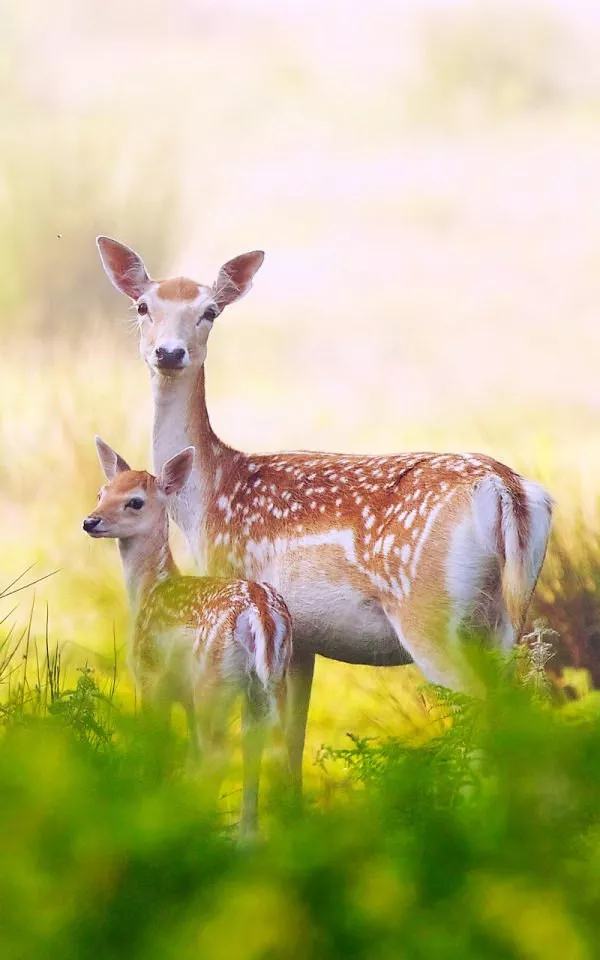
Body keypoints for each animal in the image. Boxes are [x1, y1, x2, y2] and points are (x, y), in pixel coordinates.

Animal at [97, 238, 552, 788]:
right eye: (144, 306)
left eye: (210, 311)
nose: (169, 352)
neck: (208, 498)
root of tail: (507, 489)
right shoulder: (303, 640)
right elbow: (292, 745)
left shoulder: (241, 582)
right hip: (505, 617)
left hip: (430, 612)